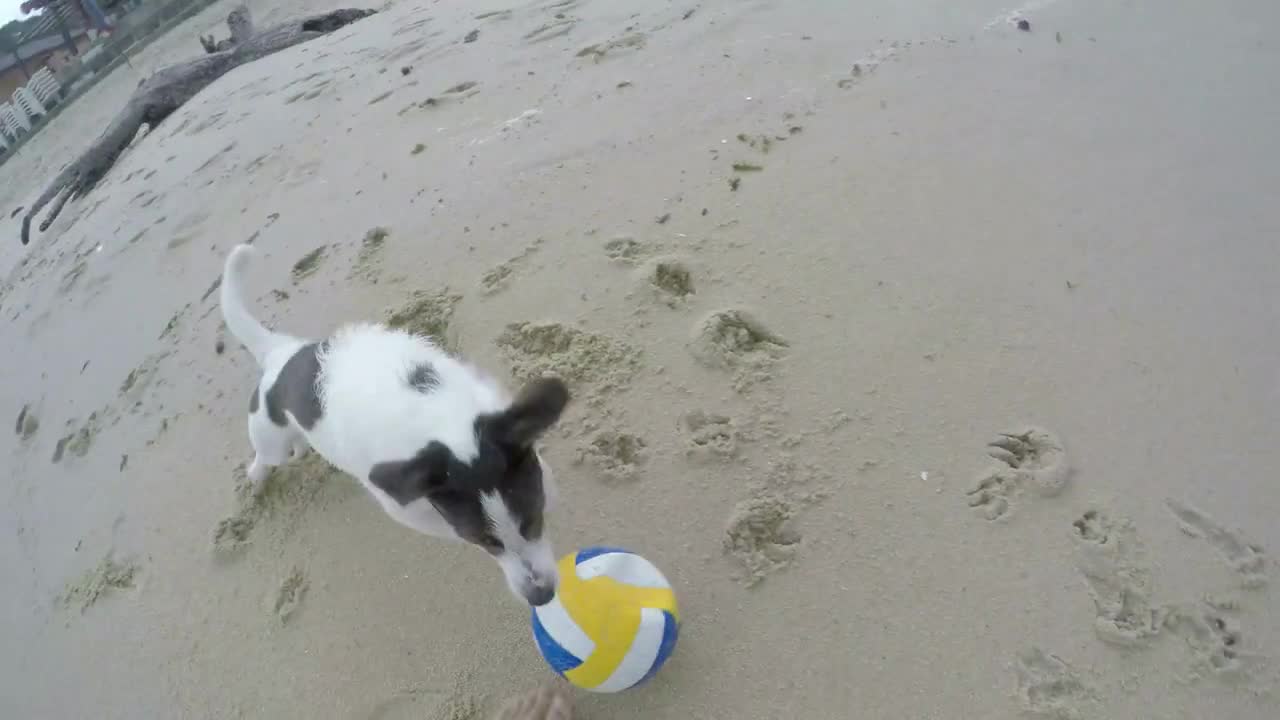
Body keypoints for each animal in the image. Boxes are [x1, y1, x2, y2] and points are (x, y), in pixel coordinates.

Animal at [218, 243, 565, 602]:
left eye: (533, 520)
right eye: (484, 542)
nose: (541, 597)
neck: (439, 420)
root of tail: (281, 353)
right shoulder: (401, 503)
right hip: (268, 436)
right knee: (264, 459)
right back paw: (257, 477)